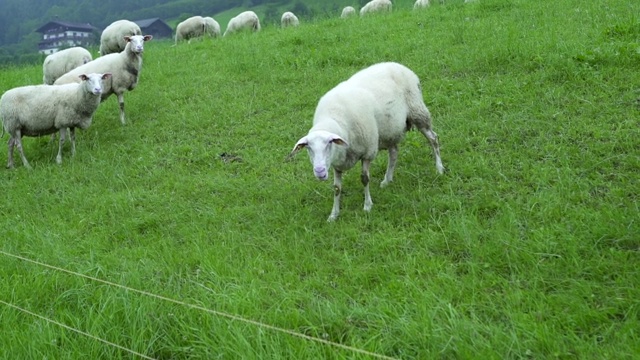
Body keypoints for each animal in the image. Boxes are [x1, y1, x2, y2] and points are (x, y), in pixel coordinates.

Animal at [292, 61, 444, 219]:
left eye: (329, 143)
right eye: (308, 147)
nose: (320, 171)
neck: (334, 117)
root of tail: (397, 64)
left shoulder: (368, 152)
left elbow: (364, 179)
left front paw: (367, 206)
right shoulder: (337, 163)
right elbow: (337, 188)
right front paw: (334, 214)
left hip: (418, 112)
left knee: (433, 139)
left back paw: (439, 168)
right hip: (389, 129)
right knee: (394, 152)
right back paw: (387, 179)